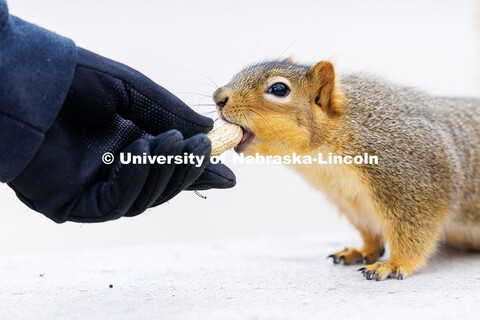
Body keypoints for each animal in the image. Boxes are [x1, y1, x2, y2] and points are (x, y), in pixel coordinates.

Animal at [212, 57, 480, 280]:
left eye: (279, 89)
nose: (218, 97)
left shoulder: (415, 180)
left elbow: (415, 230)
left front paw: (393, 264)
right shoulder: (351, 201)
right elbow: (370, 232)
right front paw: (362, 251)